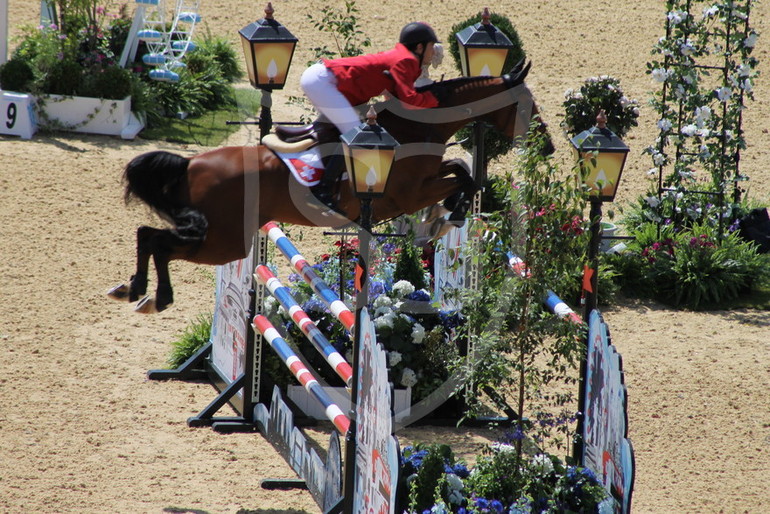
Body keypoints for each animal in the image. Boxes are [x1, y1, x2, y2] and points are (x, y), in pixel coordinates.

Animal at [109, 58, 552, 310]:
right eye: (525, 103)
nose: (545, 145)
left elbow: (461, 169)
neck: (415, 128)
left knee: (148, 234)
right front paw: (450, 214)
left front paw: (445, 216)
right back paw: (157, 297)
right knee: (160, 243)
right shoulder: (408, 193)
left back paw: (134, 289)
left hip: (215, 234)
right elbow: (463, 173)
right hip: (224, 241)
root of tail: (191, 163)